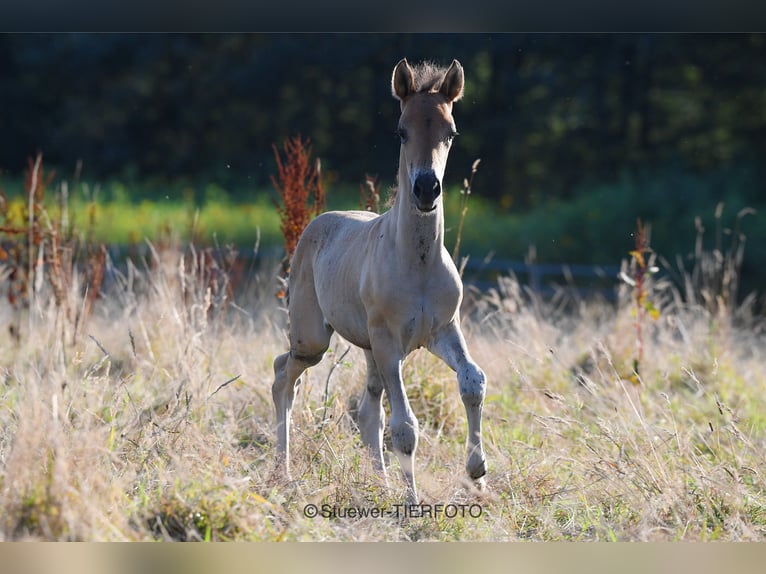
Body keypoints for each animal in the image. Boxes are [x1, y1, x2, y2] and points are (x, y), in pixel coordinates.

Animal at [272, 58, 486, 504]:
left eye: (451, 132)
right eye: (402, 130)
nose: (426, 189)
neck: (417, 264)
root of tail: (316, 223)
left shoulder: (443, 330)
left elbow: (473, 380)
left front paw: (477, 472)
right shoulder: (389, 341)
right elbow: (404, 427)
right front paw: (412, 501)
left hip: (368, 349)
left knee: (367, 410)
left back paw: (381, 482)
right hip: (314, 339)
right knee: (283, 375)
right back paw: (282, 472)